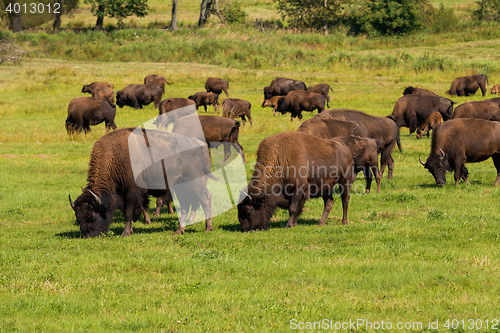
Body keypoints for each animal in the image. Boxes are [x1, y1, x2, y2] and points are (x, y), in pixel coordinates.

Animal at [68, 127, 215, 236]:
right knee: (186, 205)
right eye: (78, 218)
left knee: (205, 198)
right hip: (180, 186)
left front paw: (125, 233)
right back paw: (179, 231)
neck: (115, 158)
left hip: (194, 183)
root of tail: (198, 144)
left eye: (92, 216)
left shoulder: (132, 192)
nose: (89, 236)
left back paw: (208, 228)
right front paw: (132, 230)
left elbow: (129, 213)